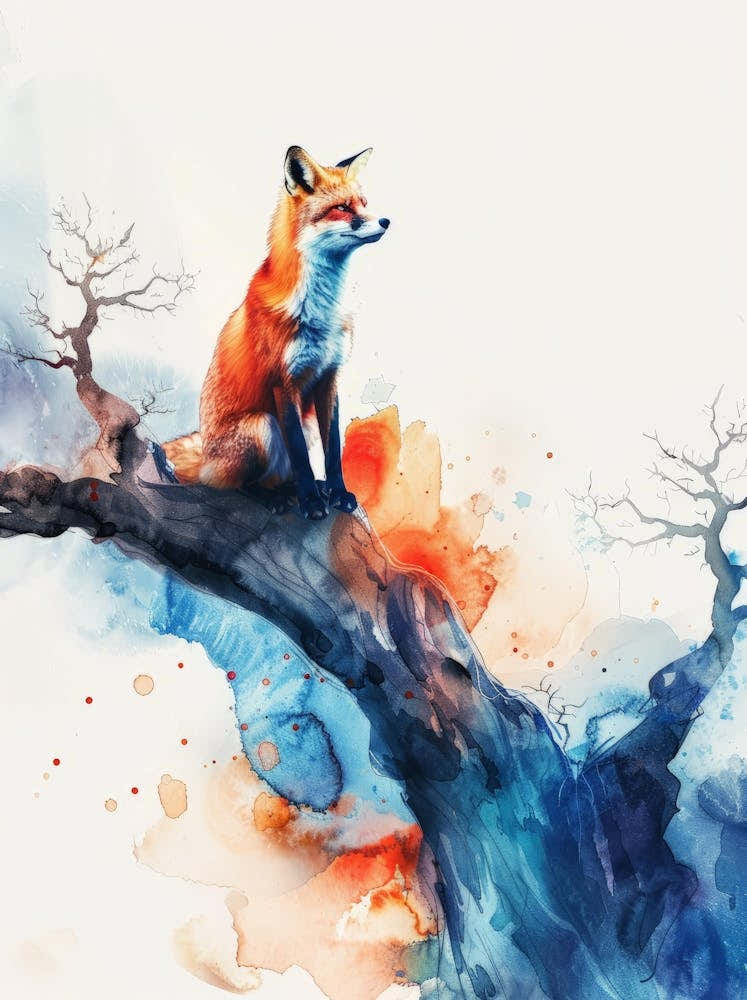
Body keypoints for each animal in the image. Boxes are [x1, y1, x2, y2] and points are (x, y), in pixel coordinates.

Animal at [162, 145, 389, 520]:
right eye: (342, 208)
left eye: (364, 202)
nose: (386, 221)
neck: (321, 310)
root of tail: (205, 459)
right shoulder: (284, 382)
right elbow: (300, 456)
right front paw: (311, 503)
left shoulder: (329, 377)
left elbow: (333, 449)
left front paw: (338, 493)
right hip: (262, 426)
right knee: (237, 485)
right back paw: (275, 497)